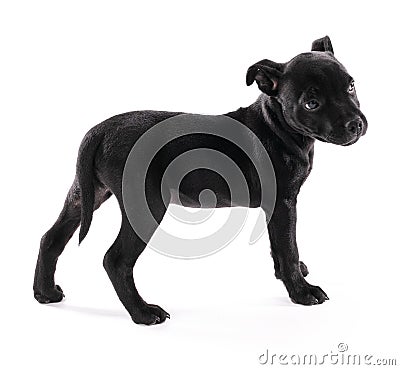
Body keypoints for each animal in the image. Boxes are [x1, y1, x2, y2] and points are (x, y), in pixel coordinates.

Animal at [33, 36, 366, 324]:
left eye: (350, 85)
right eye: (311, 103)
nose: (356, 124)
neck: (276, 124)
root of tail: (101, 129)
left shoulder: (277, 208)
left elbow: (280, 247)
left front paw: (292, 273)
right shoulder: (284, 202)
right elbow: (288, 246)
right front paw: (301, 291)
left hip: (86, 193)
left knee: (52, 237)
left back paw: (45, 292)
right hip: (146, 205)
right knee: (115, 260)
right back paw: (143, 313)